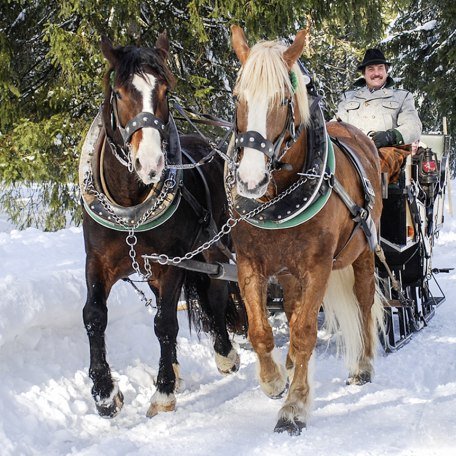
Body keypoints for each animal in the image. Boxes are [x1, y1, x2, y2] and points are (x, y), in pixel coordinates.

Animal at [82, 33, 246, 420]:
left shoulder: (171, 263)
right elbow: (94, 315)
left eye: (166, 91)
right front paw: (105, 393)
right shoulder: (98, 261)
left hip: (214, 248)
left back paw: (224, 353)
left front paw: (164, 392)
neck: (130, 205)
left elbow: (166, 323)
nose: (152, 163)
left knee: (216, 294)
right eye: (119, 93)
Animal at [230, 25, 382, 434]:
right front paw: (274, 381)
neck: (279, 199)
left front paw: (294, 406)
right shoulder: (249, 263)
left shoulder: (318, 266)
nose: (250, 180)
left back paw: (363, 365)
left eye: (283, 100)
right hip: (291, 273)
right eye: (237, 97)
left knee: (364, 302)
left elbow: (303, 332)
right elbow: (260, 330)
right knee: (294, 308)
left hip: (361, 253)